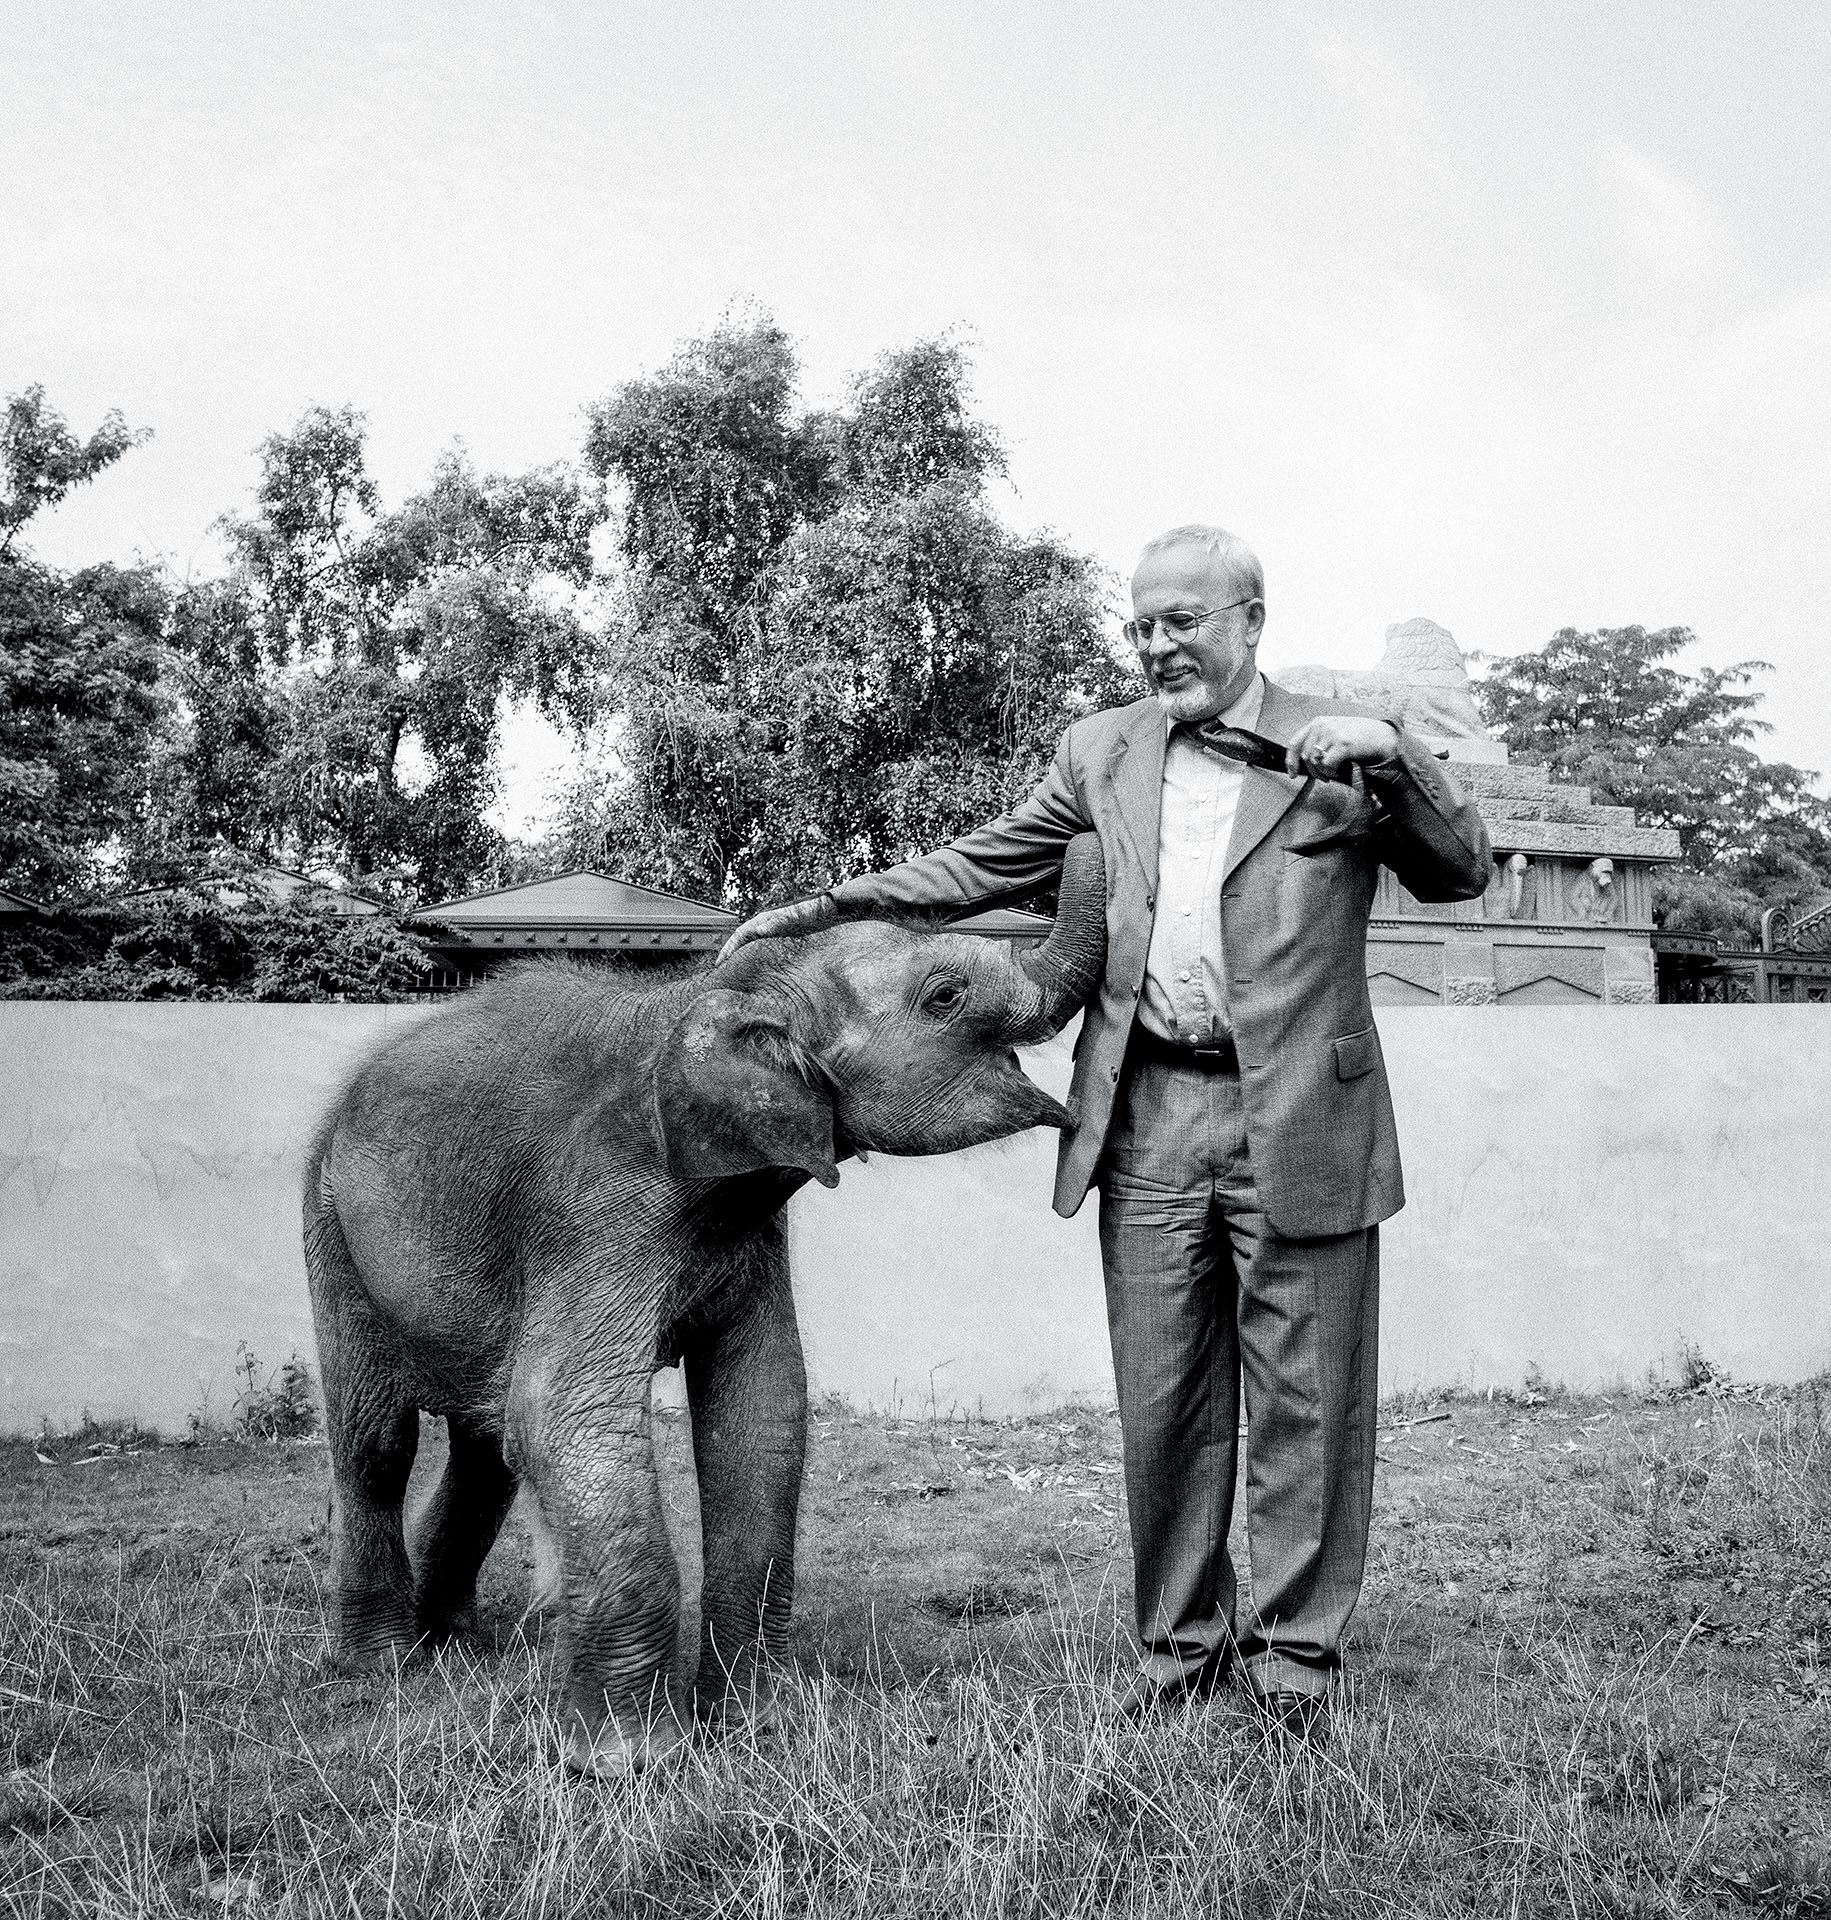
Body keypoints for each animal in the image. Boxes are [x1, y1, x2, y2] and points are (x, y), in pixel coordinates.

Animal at [302, 835, 1105, 1776]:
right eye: (943, 997)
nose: (1083, 832)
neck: (708, 995)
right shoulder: (593, 1204)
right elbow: (566, 1411)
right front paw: (628, 1766)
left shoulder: (748, 1219)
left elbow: (762, 1409)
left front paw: (756, 1730)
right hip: (328, 1223)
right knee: (380, 1441)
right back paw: (386, 1665)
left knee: (486, 1444)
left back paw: (458, 1647)